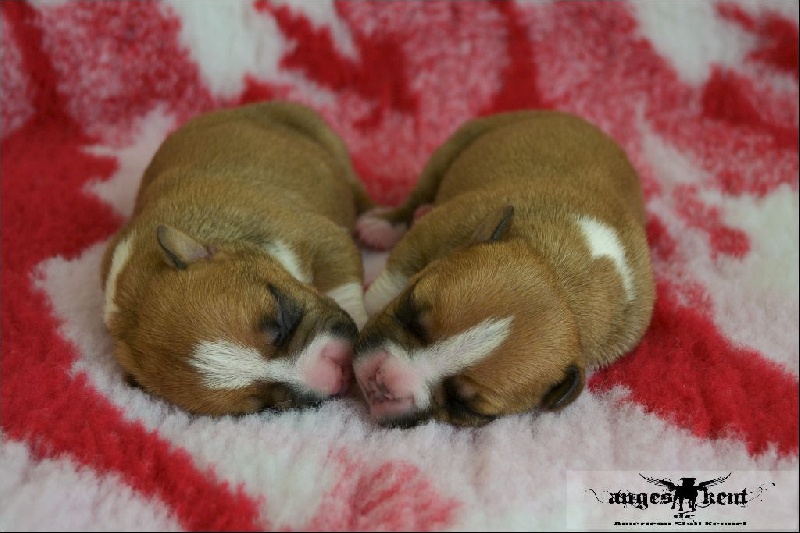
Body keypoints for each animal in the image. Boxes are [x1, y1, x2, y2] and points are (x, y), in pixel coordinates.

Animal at [101, 101, 374, 416]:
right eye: (264, 406)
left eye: (280, 320)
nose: (337, 373)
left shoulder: (324, 238)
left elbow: (344, 284)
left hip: (323, 137)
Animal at [354, 111, 652, 428]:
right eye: (409, 309)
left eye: (463, 405)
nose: (379, 381)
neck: (564, 279)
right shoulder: (437, 227)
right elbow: (391, 278)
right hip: (456, 145)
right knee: (418, 194)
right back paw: (382, 225)